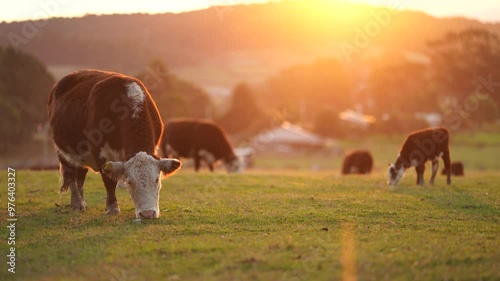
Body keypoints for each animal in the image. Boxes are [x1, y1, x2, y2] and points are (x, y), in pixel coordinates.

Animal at [47, 69, 182, 218]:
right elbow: (109, 182)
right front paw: (112, 208)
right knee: (71, 176)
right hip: (63, 152)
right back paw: (77, 203)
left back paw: (81, 201)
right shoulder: (101, 153)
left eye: (157, 179)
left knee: (80, 176)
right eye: (129, 182)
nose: (147, 214)